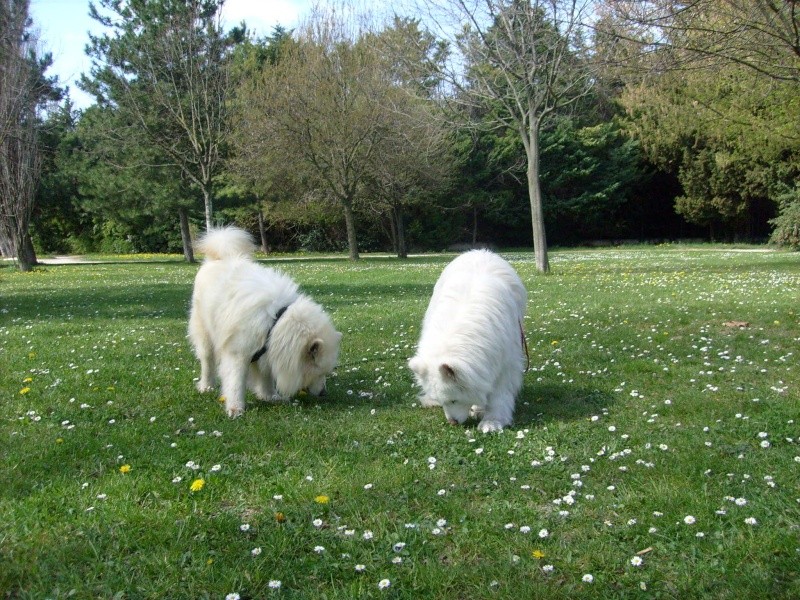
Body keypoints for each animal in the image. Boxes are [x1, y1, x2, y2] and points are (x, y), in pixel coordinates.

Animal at [189, 225, 342, 418]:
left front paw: (269, 396)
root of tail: (218, 258)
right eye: (319, 372)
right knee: (207, 362)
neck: (275, 321)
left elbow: (265, 376)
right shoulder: (238, 353)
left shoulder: (267, 351)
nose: (323, 393)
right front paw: (235, 408)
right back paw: (206, 386)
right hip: (205, 333)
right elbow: (235, 383)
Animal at [410, 248, 528, 432]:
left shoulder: (505, 362)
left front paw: (492, 422)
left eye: (453, 400)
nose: (452, 423)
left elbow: (498, 395)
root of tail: (479, 251)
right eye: (443, 402)